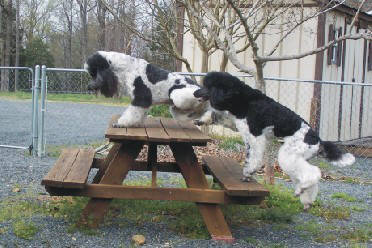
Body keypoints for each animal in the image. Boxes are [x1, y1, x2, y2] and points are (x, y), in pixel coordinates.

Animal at [193, 71, 356, 209]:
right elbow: (219, 116)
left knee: (314, 173)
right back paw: (306, 199)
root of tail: (318, 140)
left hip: (289, 155)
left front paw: (249, 172)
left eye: (207, 86)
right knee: (311, 179)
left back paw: (302, 189)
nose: (195, 93)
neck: (244, 99)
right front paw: (202, 120)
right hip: (298, 158)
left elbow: (254, 157)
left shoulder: (255, 136)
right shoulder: (237, 122)